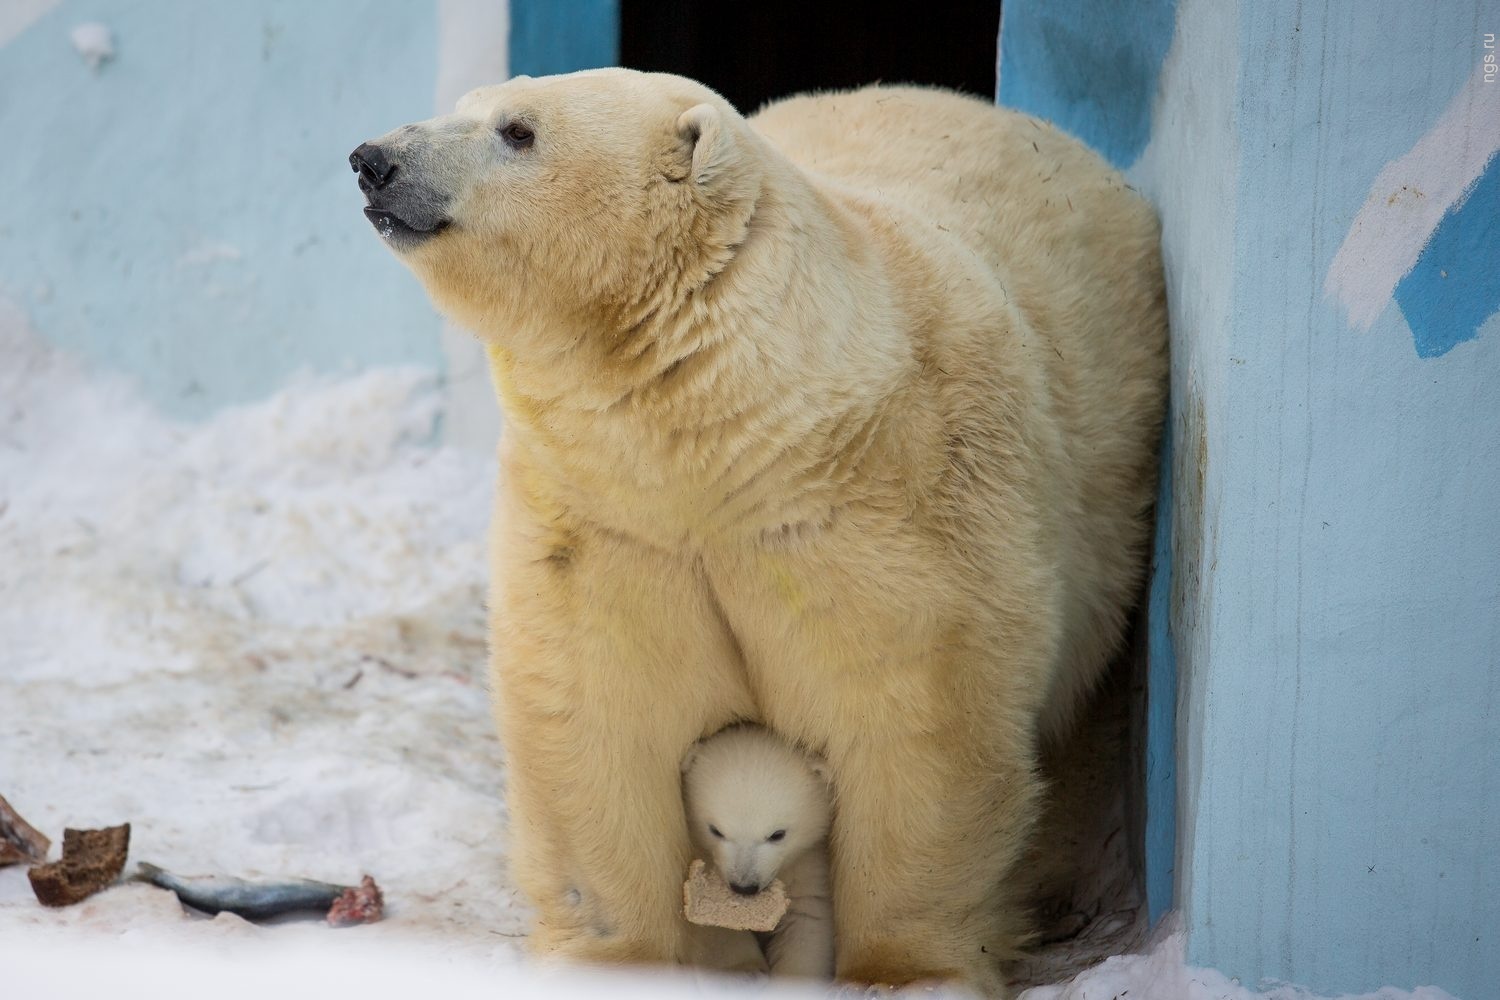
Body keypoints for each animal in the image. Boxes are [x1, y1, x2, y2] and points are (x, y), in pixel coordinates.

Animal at [354, 68, 1170, 995]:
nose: (374, 160)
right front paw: (613, 957)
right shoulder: (612, 520)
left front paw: (908, 970)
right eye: (468, 105)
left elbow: (920, 725)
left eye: (518, 130)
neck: (741, 435)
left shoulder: (897, 510)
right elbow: (597, 716)